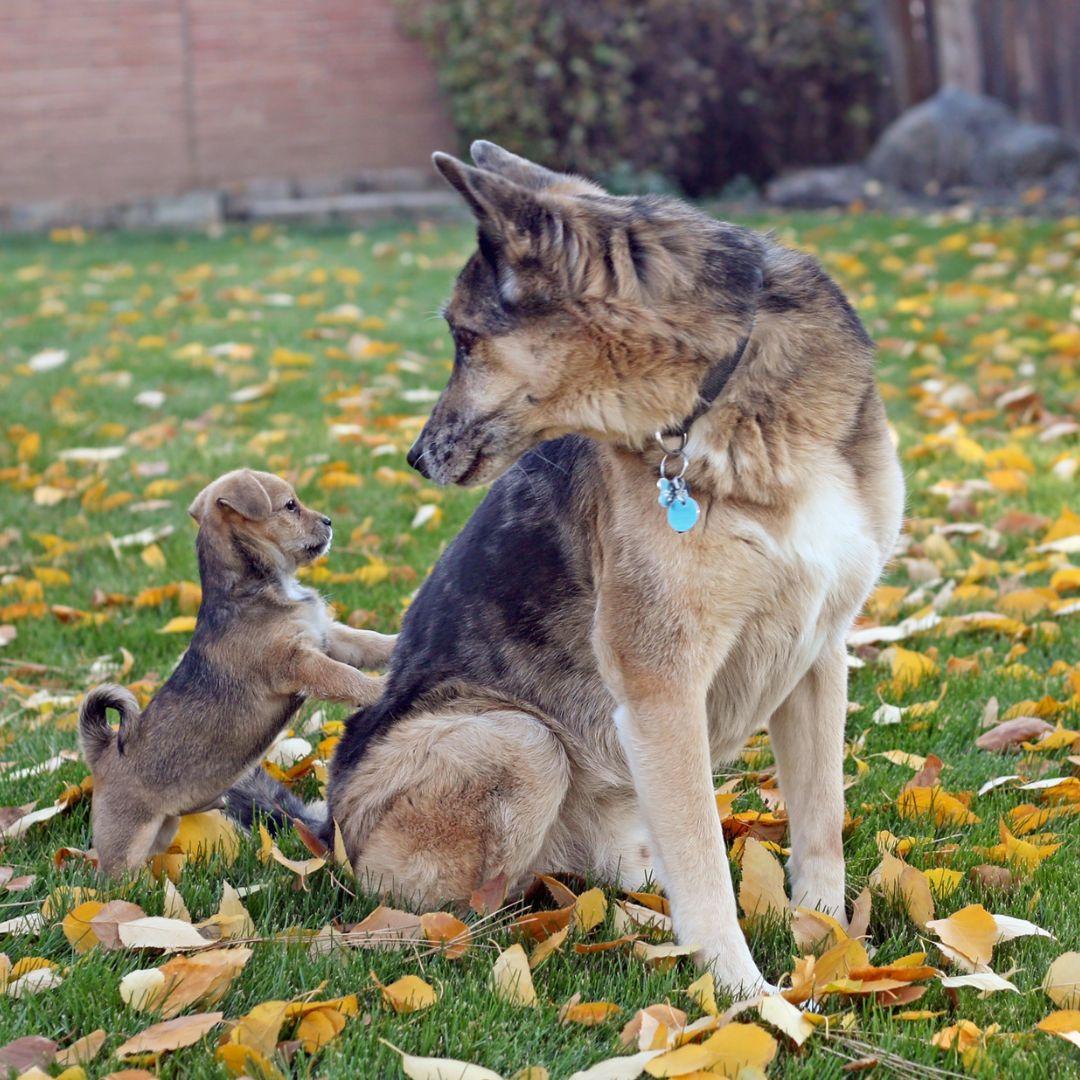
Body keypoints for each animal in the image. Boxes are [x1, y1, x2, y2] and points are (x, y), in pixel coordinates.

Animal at [78, 468, 397, 872]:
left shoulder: (329, 637)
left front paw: (402, 640)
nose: (328, 521)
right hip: (126, 843)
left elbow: (371, 643)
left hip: (163, 828)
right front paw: (380, 689)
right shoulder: (300, 661)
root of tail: (103, 751)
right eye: (290, 506)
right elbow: (345, 676)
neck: (262, 586)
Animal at [245, 143, 902, 993]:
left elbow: (820, 818)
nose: (415, 457)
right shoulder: (662, 688)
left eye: (464, 339)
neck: (723, 395)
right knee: (481, 915)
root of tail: (327, 830)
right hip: (520, 742)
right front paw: (742, 993)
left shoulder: (819, 651)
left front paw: (827, 941)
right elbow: (706, 865)